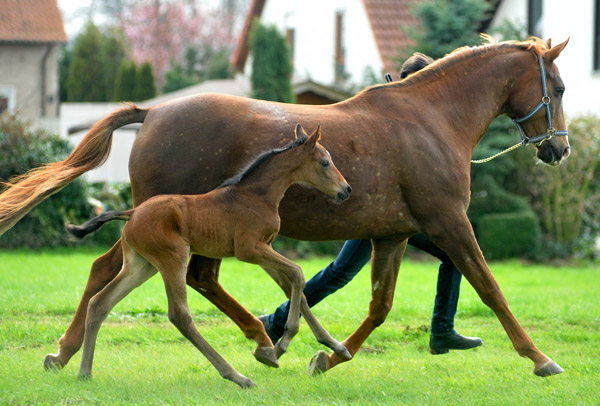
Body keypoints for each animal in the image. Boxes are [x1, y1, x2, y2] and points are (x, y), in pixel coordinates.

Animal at [67, 124, 352, 386]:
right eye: (325, 163)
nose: (346, 190)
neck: (256, 195)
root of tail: (132, 212)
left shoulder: (265, 249)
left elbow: (295, 286)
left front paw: (334, 346)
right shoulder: (249, 250)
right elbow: (298, 273)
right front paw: (280, 345)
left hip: (141, 265)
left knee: (100, 303)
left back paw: (84, 372)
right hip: (173, 258)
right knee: (180, 316)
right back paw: (237, 376)